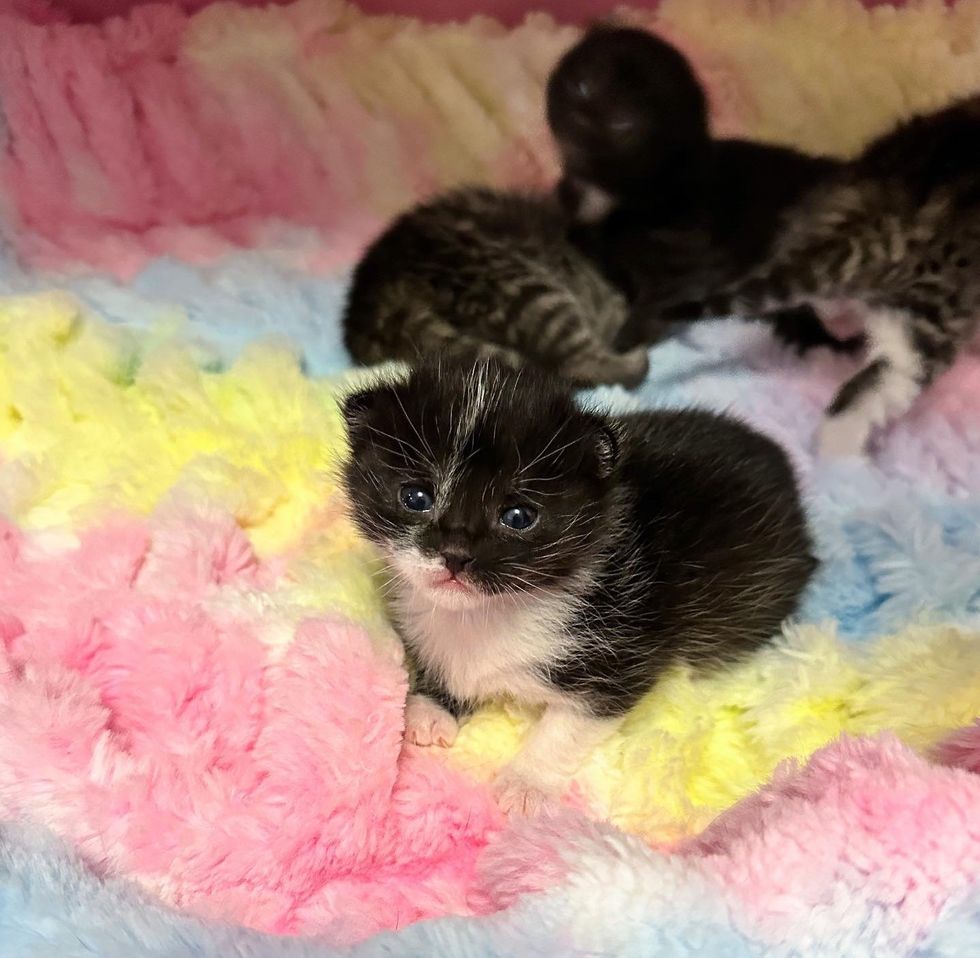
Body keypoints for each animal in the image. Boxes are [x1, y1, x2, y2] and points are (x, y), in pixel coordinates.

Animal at [340, 360, 816, 816]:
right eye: (415, 497)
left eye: (518, 516)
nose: (455, 555)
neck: (492, 613)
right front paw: (431, 707)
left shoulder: (622, 655)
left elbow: (569, 725)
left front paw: (526, 783)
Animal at [544, 26, 848, 356]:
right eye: (582, 86)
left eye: (622, 123)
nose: (580, 117)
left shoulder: (690, 266)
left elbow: (656, 304)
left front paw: (626, 342)